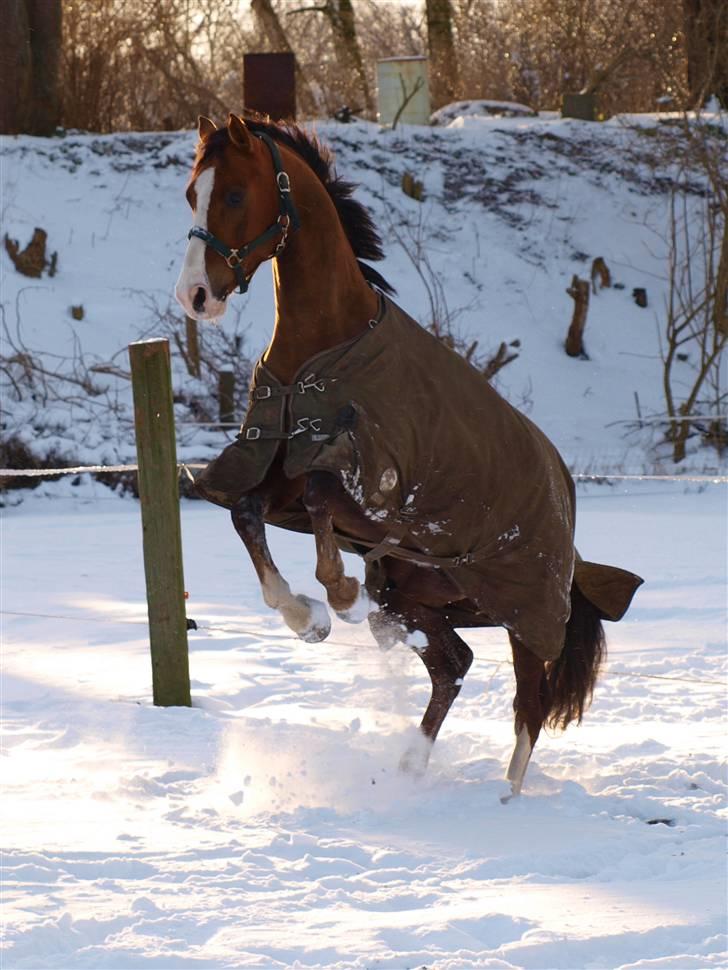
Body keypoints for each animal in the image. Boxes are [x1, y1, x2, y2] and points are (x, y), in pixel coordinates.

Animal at [175, 113, 642, 798]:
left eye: (234, 194)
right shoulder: (275, 468)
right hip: (416, 594)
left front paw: (339, 596)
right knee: (454, 664)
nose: (196, 296)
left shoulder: (370, 486)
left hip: (524, 615)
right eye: (192, 194)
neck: (320, 356)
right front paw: (306, 619)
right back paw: (408, 769)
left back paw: (506, 798)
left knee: (527, 707)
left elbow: (320, 494)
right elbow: (246, 513)